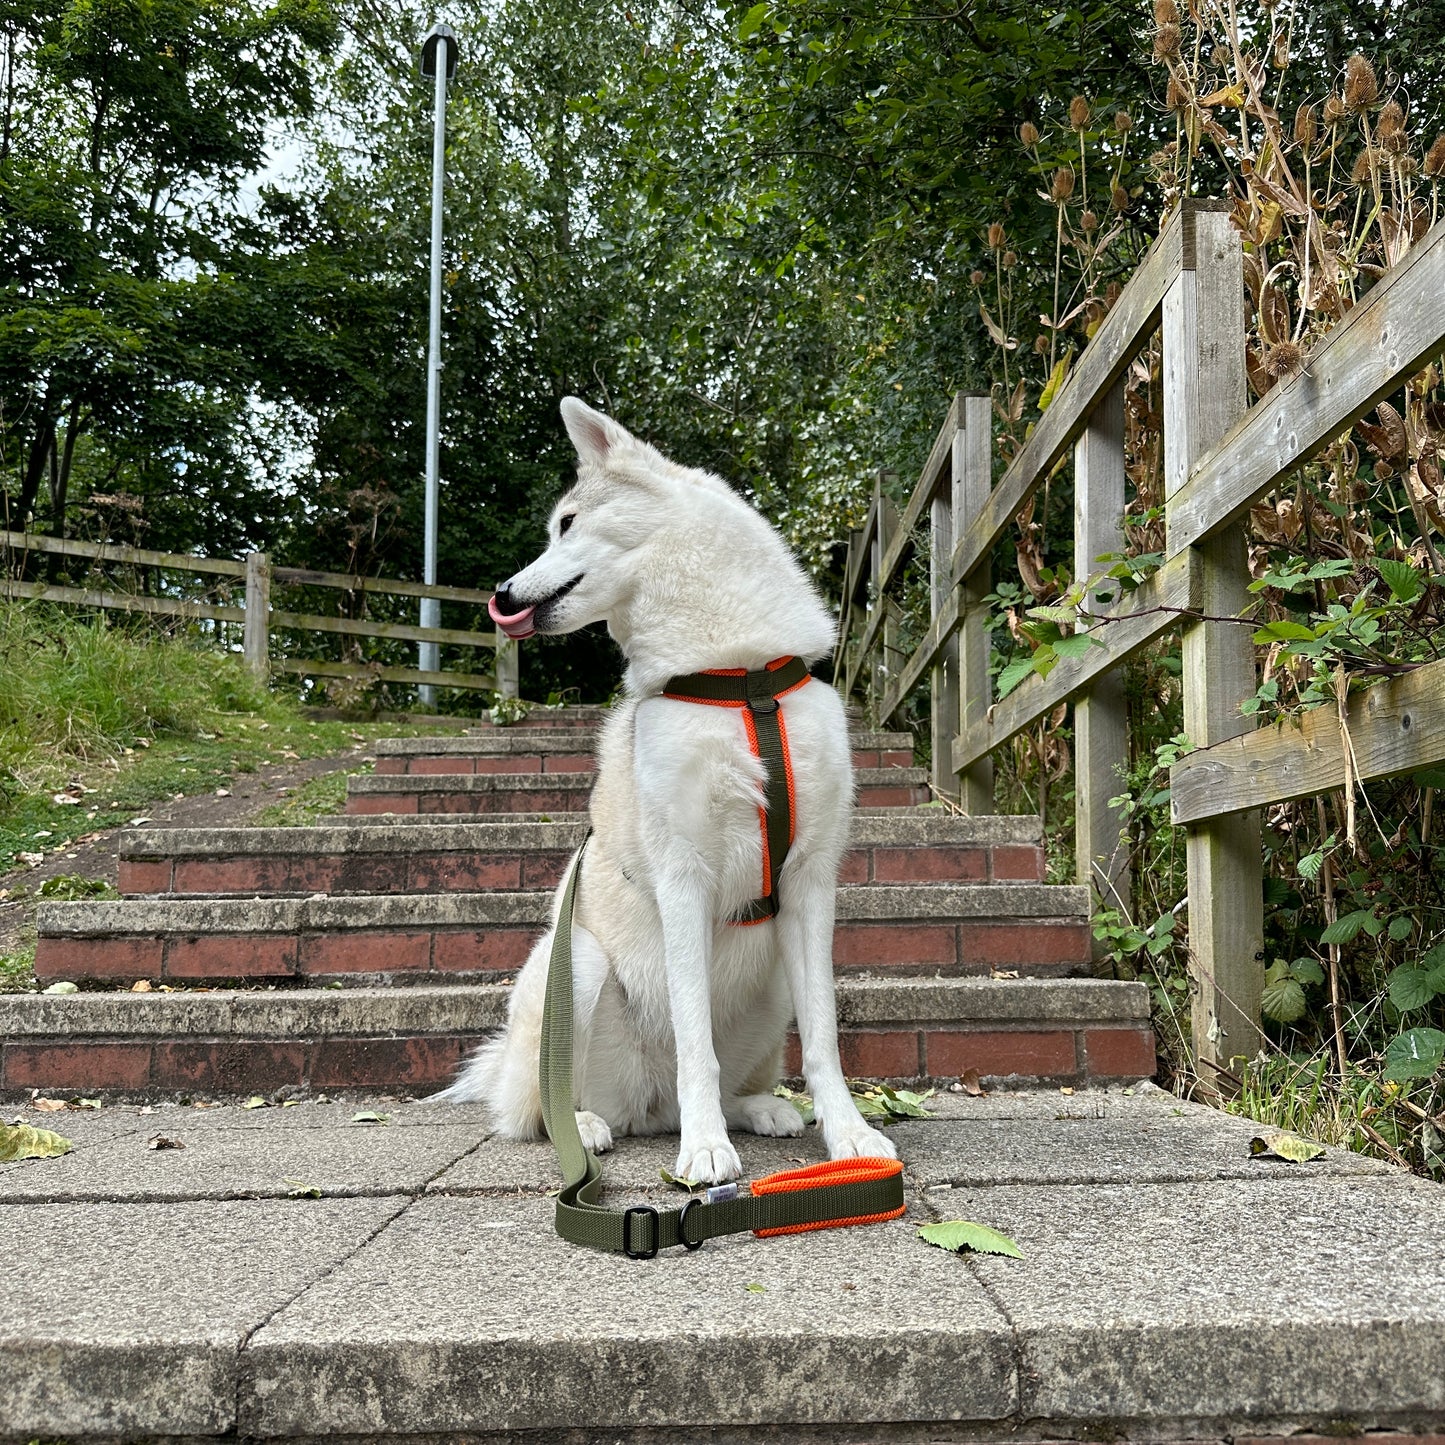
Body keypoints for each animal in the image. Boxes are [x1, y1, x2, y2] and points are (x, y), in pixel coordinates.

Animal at [433, 398, 895, 1184]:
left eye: (566, 523)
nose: (501, 595)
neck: (736, 676)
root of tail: (645, 1107)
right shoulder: (684, 876)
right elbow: (694, 1040)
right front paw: (706, 1149)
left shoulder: (809, 882)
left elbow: (825, 1040)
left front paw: (848, 1135)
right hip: (576, 966)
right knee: (539, 1108)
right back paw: (590, 1126)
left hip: (771, 982)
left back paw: (759, 1108)